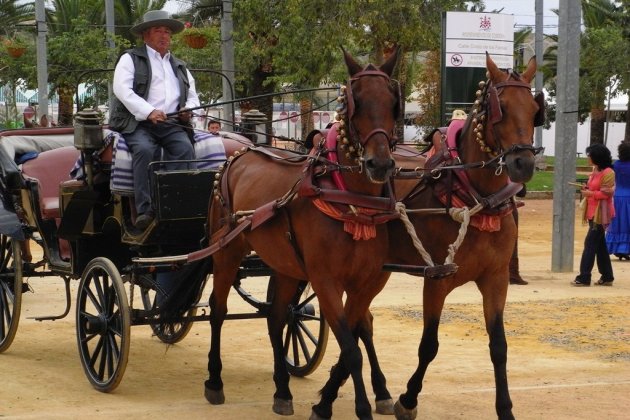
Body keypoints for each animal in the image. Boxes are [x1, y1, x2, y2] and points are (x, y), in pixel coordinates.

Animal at [207, 48, 402, 416]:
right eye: (355, 100)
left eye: (393, 101)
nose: (380, 164)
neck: (350, 200)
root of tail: (238, 153)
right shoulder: (325, 280)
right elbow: (351, 348)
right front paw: (356, 407)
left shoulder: (368, 281)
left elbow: (358, 334)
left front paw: (354, 397)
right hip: (226, 249)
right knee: (218, 309)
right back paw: (214, 381)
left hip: (284, 265)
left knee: (276, 316)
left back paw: (282, 390)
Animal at [314, 54, 544, 418]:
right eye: (502, 108)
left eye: (535, 109)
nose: (523, 163)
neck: (475, 199)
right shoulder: (437, 280)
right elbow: (429, 345)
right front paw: (408, 400)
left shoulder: (496, 279)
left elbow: (499, 346)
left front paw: (505, 408)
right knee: (359, 325)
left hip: (372, 271)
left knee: (362, 322)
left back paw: (371, 389)